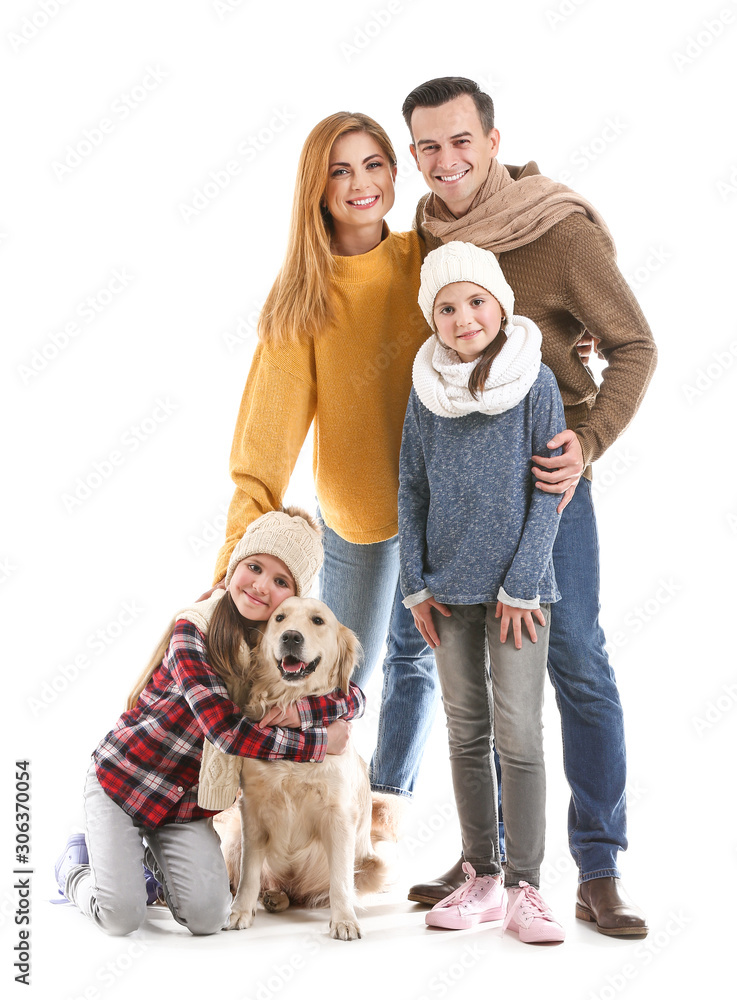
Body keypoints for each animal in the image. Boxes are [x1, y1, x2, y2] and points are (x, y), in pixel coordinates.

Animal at [213, 596, 386, 940]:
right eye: (279, 618)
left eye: (318, 621)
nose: (291, 637)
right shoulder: (251, 809)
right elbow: (249, 873)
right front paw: (239, 912)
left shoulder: (339, 814)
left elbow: (340, 881)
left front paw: (344, 920)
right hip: (235, 835)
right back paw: (271, 896)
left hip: (374, 866)